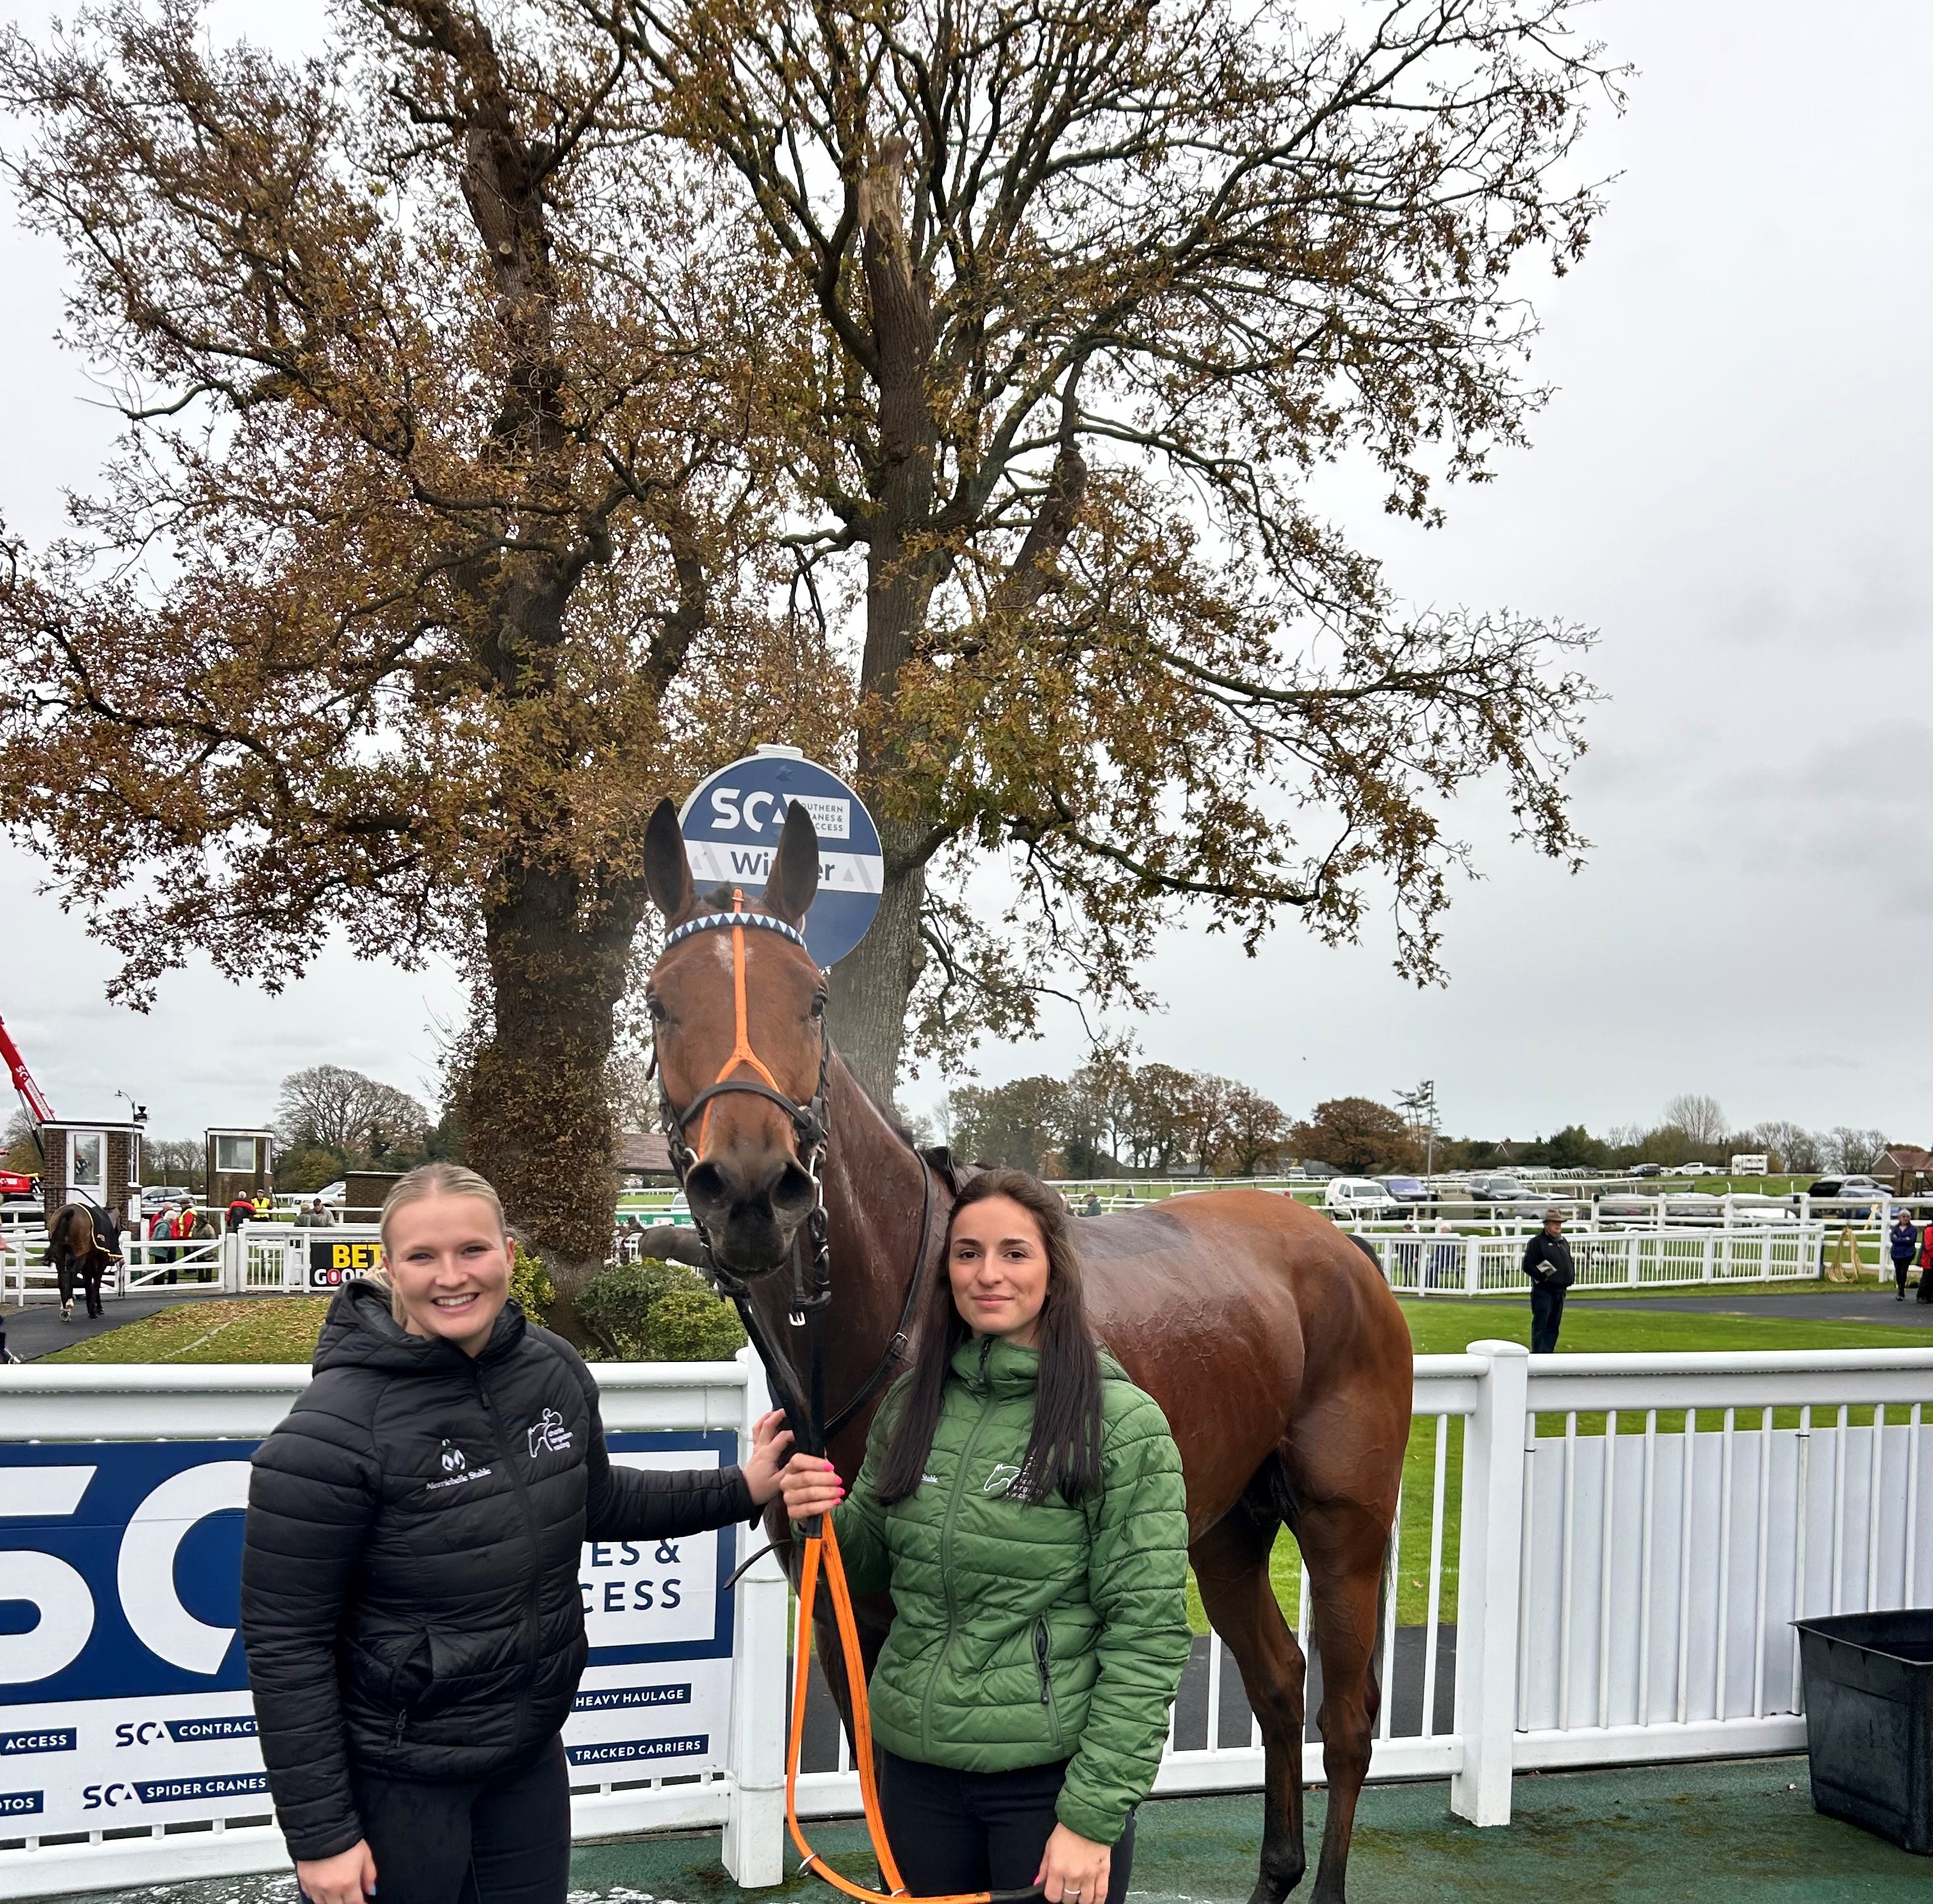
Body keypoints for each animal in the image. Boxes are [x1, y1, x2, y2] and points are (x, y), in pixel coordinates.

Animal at [641, 800, 1415, 1901]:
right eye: (661, 1002)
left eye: (815, 1001)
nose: (751, 1189)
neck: (896, 1317)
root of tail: (1340, 1246)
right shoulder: (844, 1611)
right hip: (1221, 1527)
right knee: (1276, 1683)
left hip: (1343, 1520)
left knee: (1343, 1721)